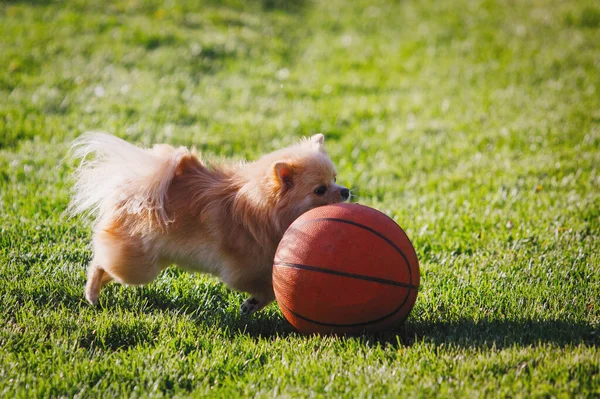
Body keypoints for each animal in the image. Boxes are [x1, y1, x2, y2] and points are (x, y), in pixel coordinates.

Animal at [69, 134, 352, 316]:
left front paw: (251, 305)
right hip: (137, 268)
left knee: (108, 267)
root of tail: (129, 191)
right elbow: (270, 290)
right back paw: (91, 293)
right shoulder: (243, 271)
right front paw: (251, 304)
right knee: (100, 263)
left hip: (148, 264)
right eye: (320, 190)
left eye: (335, 178)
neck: (262, 208)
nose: (346, 191)